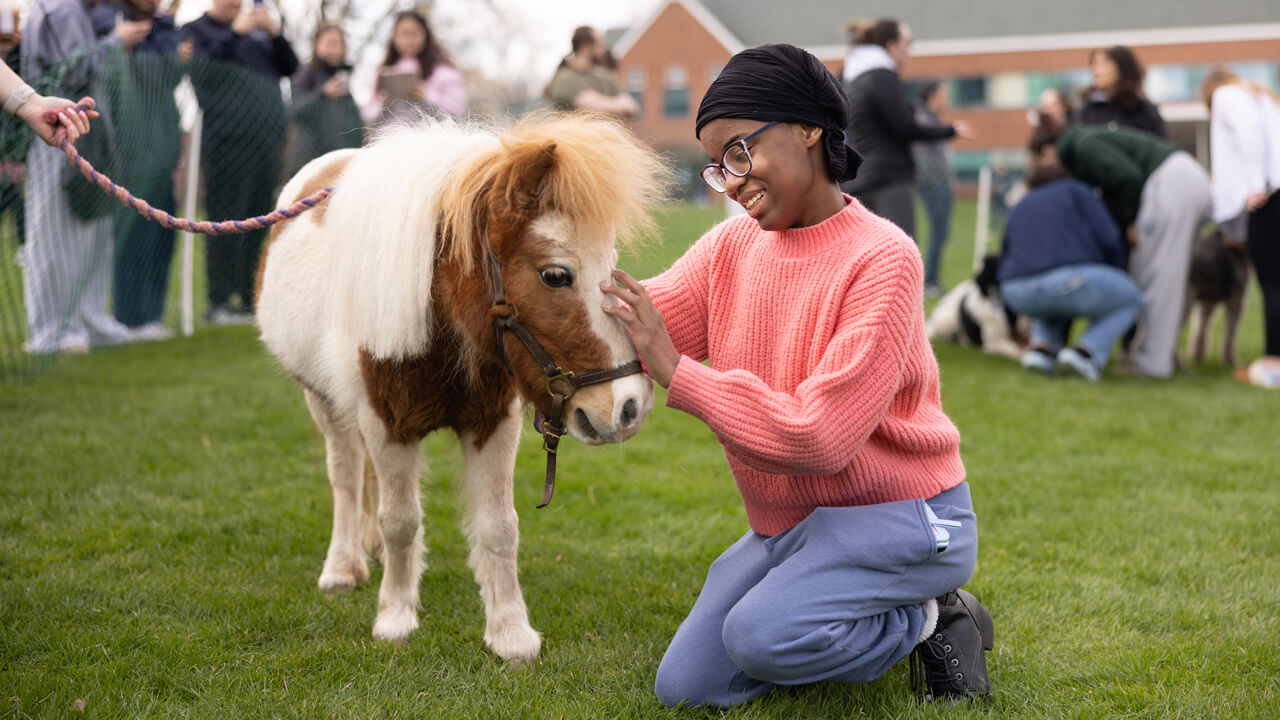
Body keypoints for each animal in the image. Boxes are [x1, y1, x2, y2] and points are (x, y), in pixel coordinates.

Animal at [254, 113, 669, 666]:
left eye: (612, 262)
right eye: (555, 275)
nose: (629, 406)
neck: (441, 319)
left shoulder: (492, 422)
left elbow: (498, 526)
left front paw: (511, 632)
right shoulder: (385, 421)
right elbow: (401, 519)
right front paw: (395, 619)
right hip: (324, 403)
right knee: (344, 474)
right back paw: (343, 566)